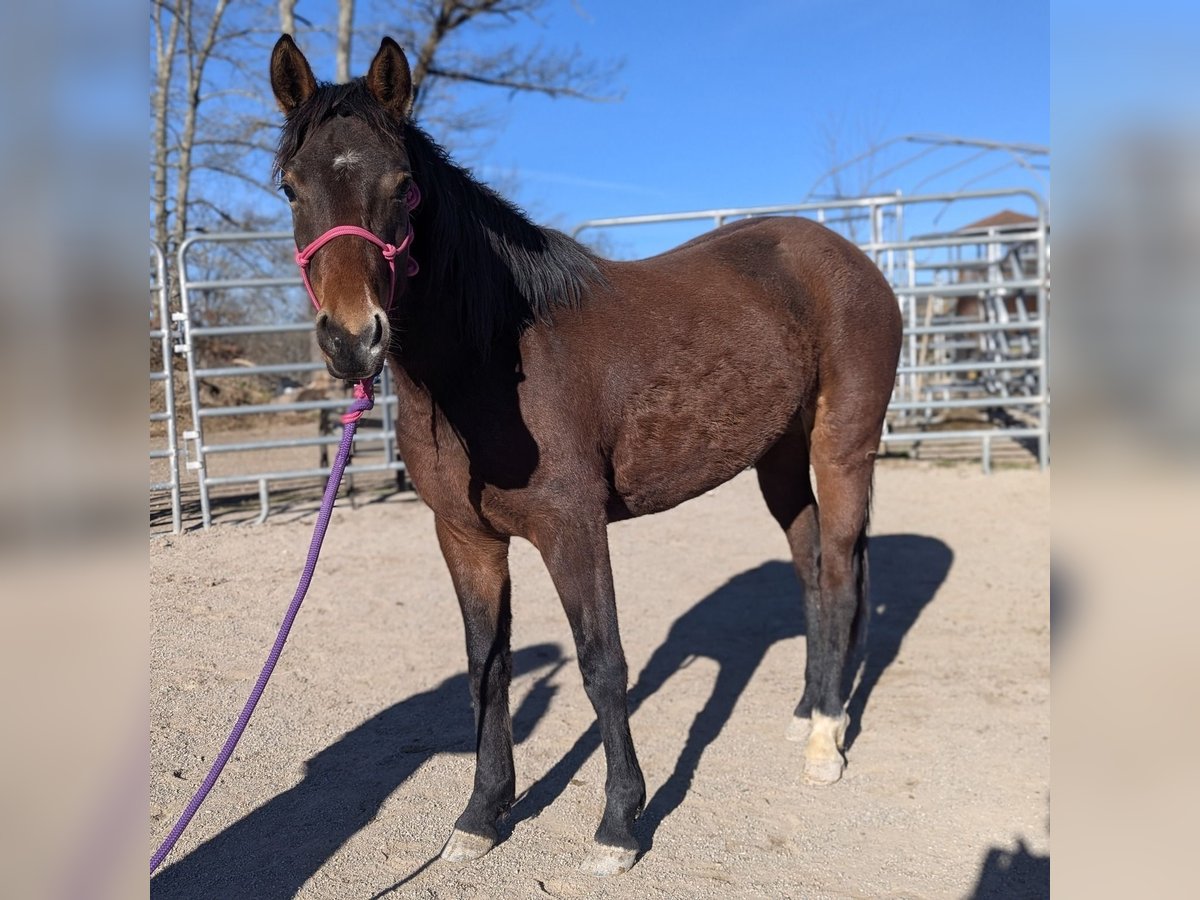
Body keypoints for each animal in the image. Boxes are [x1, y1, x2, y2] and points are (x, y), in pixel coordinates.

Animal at [270, 33, 902, 873]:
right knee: (811, 565)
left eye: (403, 187)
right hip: (778, 455)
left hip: (843, 447)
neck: (489, 362)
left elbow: (604, 664)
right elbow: (487, 668)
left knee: (838, 572)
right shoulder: (465, 538)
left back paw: (827, 742)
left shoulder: (573, 528)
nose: (351, 339)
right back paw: (806, 710)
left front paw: (619, 824)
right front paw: (482, 815)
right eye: (289, 188)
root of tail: (848, 258)